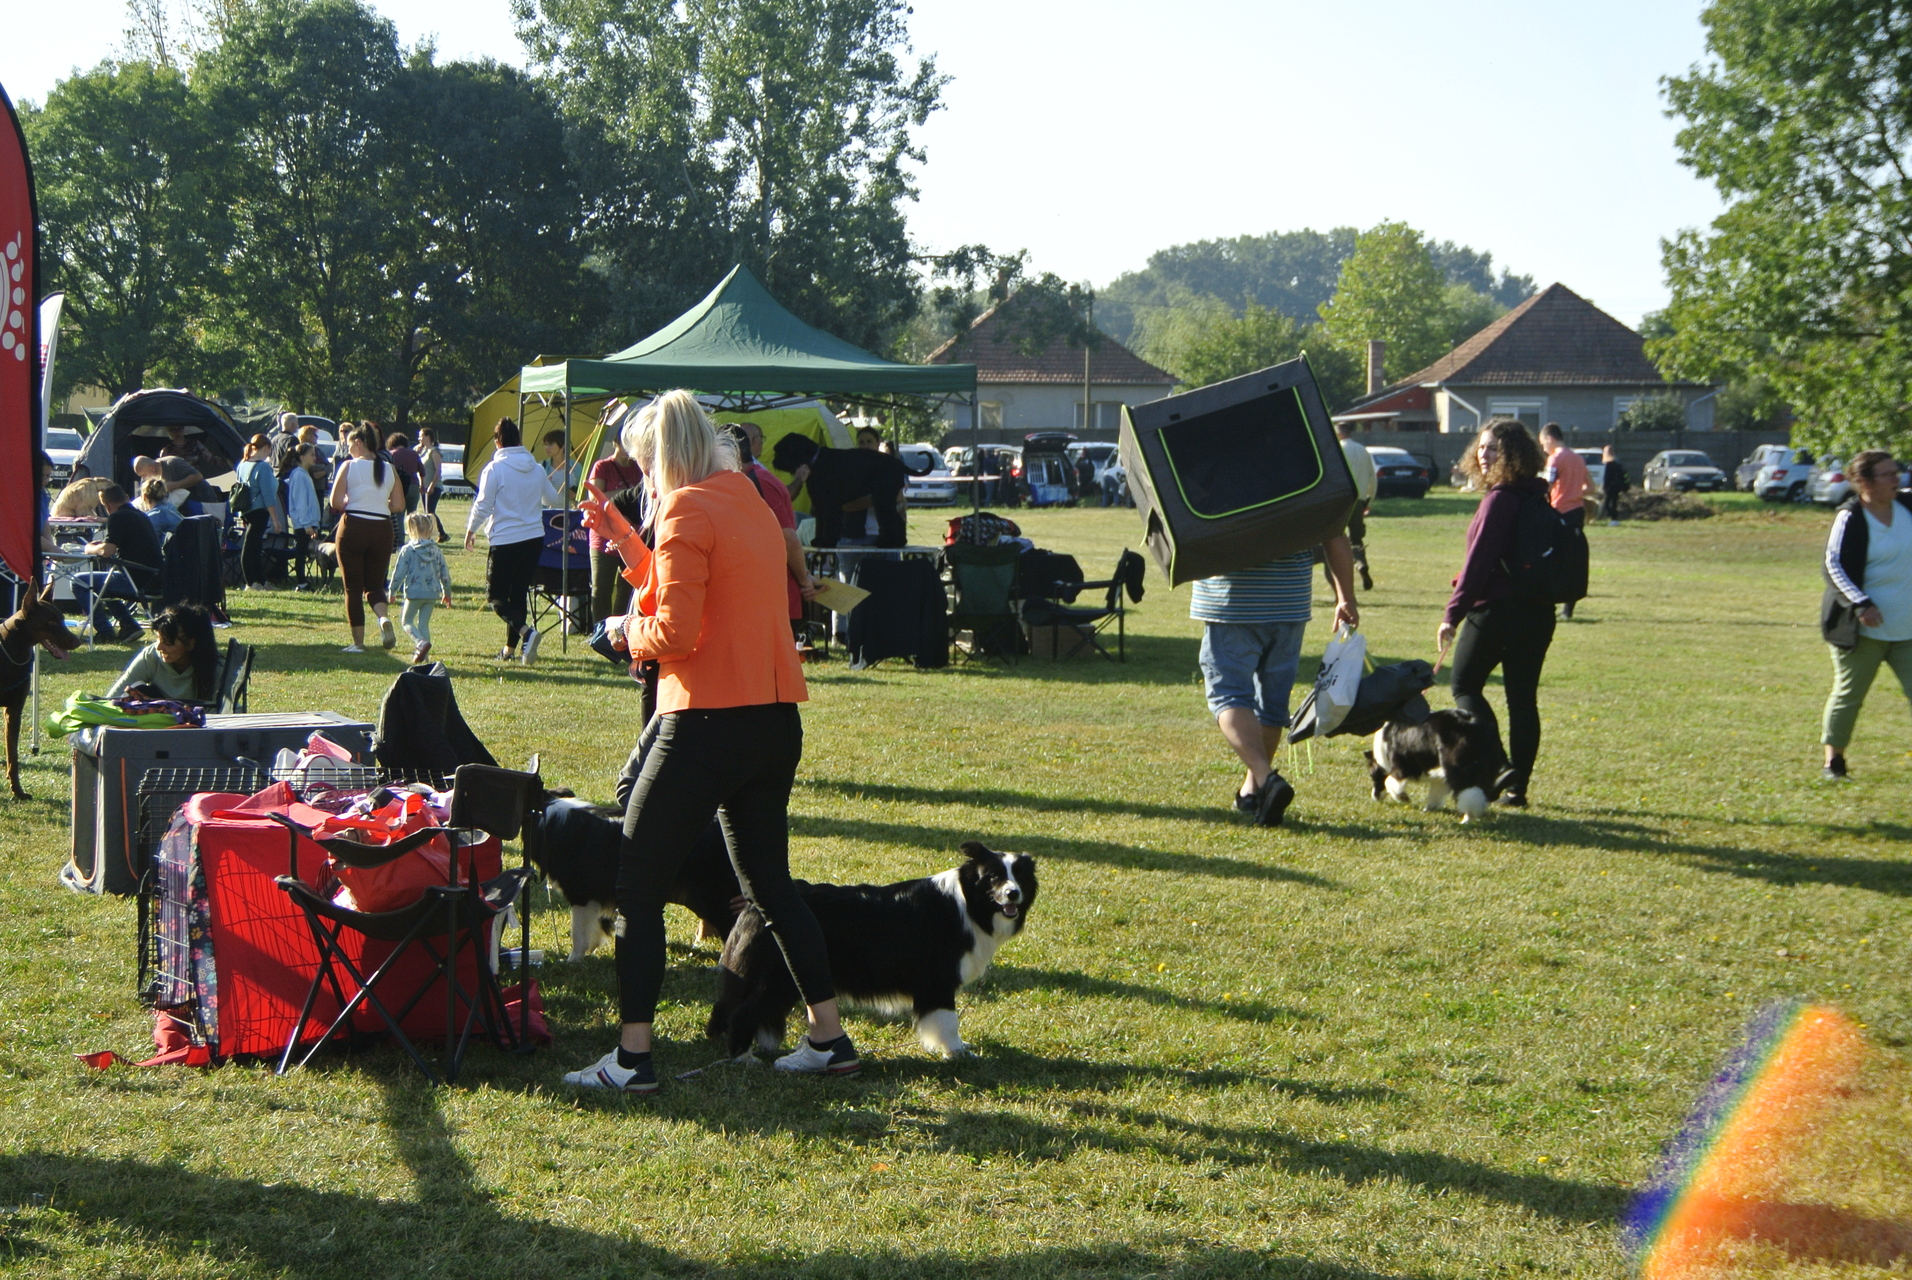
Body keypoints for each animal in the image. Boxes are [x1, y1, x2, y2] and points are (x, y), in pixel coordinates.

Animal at [1, 580, 82, 799]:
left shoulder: (14, 711)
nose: (77, 641)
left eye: (62, 619)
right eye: (51, 622)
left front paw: (18, 791)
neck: (13, 651)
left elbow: (13, 755)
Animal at [707, 841, 1037, 1060]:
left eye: (1020, 877)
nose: (1013, 894)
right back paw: (742, 1057)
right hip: (781, 980)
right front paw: (955, 1052)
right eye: (993, 877)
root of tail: (755, 908)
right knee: (743, 1012)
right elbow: (948, 1021)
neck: (968, 904)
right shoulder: (937, 982)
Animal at [769, 434, 908, 548]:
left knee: (893, 520)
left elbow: (830, 523)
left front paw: (827, 542)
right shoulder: (819, 502)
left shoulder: (830, 503)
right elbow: (820, 523)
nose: (774, 461)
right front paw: (818, 541)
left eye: (781, 450)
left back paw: (890, 543)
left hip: (883, 500)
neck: (815, 461)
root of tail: (899, 464)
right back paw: (895, 542)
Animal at [1366, 710, 1506, 822]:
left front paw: (1403, 797)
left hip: (1461, 771)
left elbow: (1390, 782)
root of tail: (1476, 727)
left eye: (1372, 776)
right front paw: (1429, 808)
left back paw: (1467, 819)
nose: (1374, 797)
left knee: (1470, 794)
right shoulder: (1439, 776)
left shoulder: (1400, 768)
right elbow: (1435, 793)